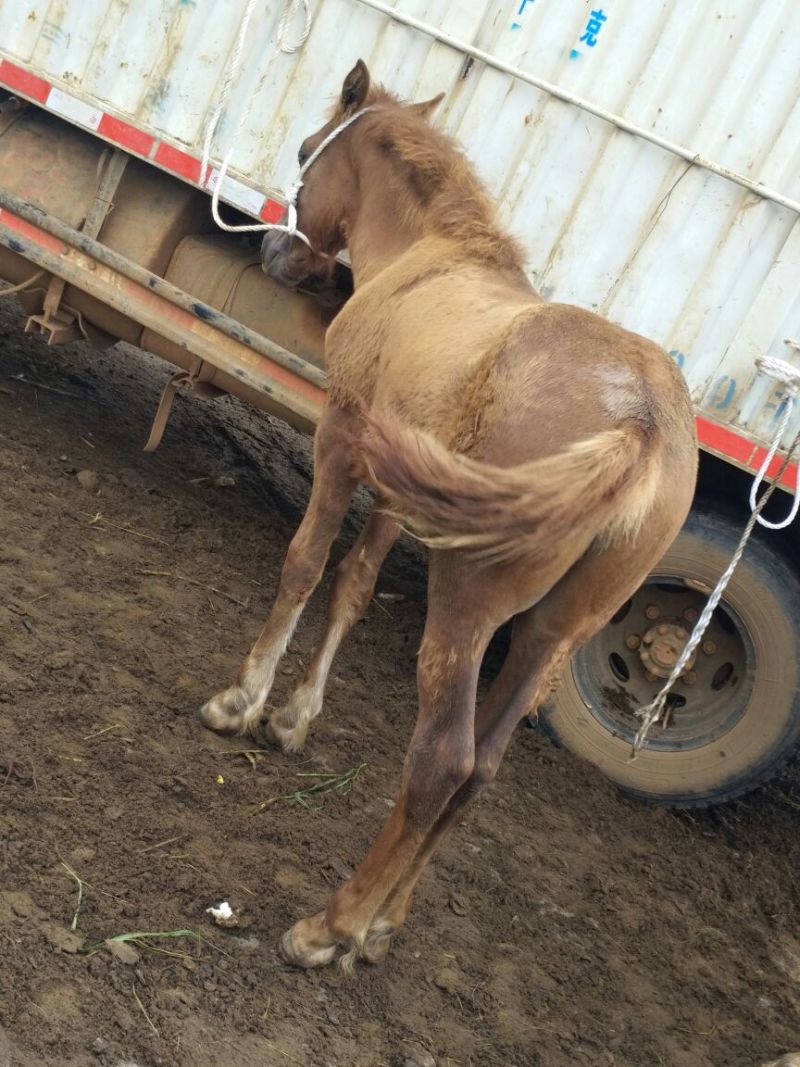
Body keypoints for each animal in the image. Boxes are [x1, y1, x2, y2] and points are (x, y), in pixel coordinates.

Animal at [200, 60, 698, 972]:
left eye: (306, 150)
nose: (274, 247)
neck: (429, 259)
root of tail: (642, 422)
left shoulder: (340, 443)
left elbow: (306, 563)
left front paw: (244, 700)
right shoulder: (407, 496)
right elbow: (356, 584)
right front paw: (294, 715)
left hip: (467, 603)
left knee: (442, 760)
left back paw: (330, 925)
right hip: (549, 633)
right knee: (482, 769)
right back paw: (383, 923)